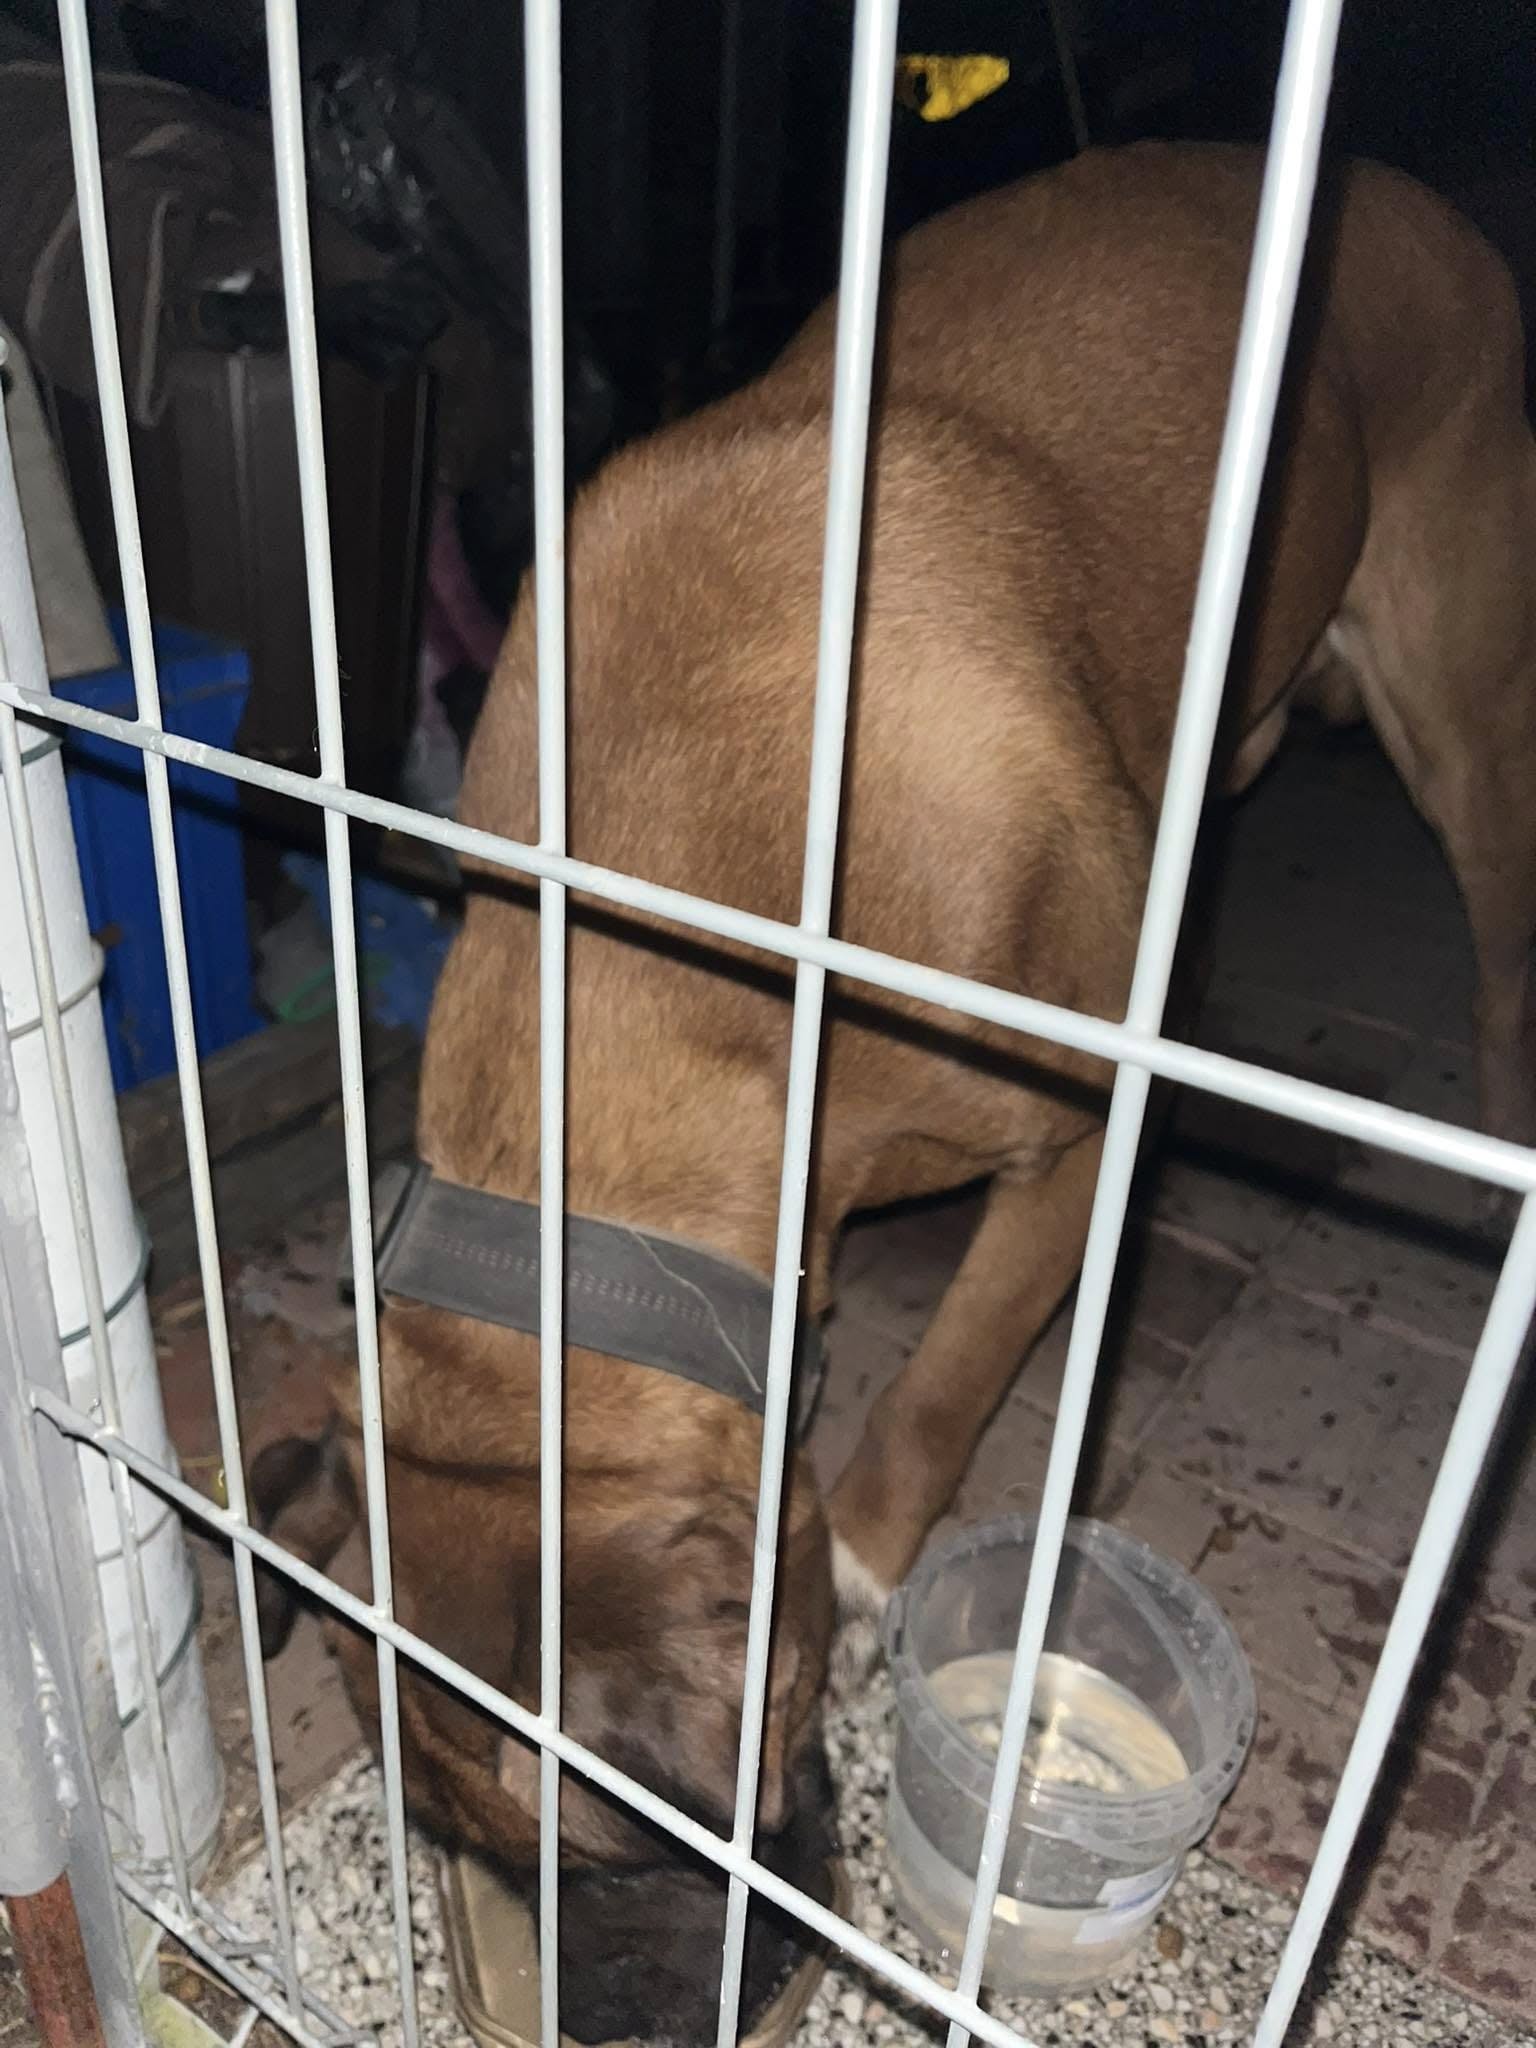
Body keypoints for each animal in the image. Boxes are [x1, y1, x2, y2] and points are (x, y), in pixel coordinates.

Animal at [251, 141, 1536, 2045]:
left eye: (615, 1852)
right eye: (459, 1838)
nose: (605, 2016)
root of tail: (1397, 189)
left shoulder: (1084, 1146)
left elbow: (938, 1390)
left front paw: (859, 1561)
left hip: (1463, 711)